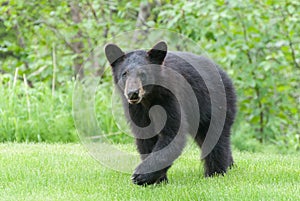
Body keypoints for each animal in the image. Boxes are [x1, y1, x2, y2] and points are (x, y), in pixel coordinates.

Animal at [105, 40, 237, 185]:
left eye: (142, 73)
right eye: (125, 74)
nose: (132, 93)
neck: (148, 99)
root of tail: (225, 75)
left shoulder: (169, 98)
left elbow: (172, 133)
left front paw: (141, 175)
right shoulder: (137, 110)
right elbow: (145, 137)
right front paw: (158, 180)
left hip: (215, 105)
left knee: (215, 139)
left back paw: (215, 173)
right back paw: (230, 165)